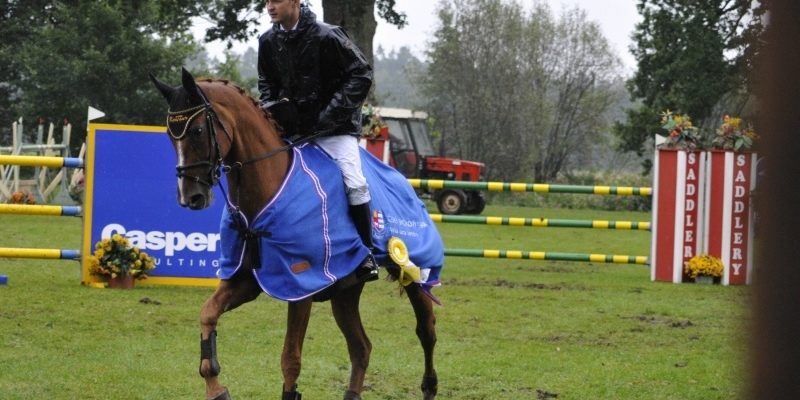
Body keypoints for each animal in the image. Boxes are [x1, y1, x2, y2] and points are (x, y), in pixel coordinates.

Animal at [150, 68, 440, 400]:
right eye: (170, 135)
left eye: (197, 131)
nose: (190, 197)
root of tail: (407, 183)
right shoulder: (245, 281)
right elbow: (207, 314)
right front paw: (216, 387)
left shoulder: (301, 287)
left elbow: (290, 358)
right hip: (345, 293)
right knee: (361, 347)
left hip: (414, 273)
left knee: (426, 331)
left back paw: (429, 387)